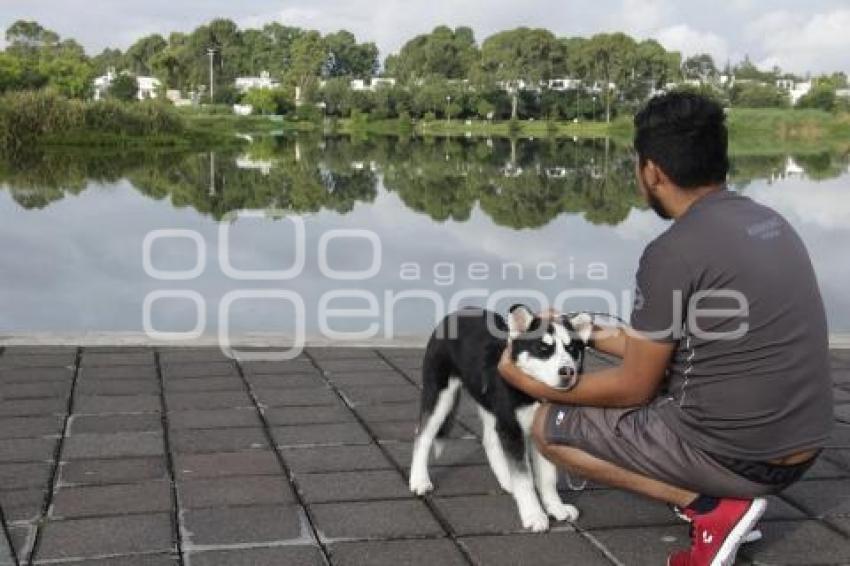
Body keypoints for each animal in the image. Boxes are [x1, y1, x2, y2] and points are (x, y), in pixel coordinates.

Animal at [410, 306, 592, 532]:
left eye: (572, 349)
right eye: (543, 348)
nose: (568, 371)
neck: (533, 393)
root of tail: (457, 313)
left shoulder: (537, 432)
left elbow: (548, 477)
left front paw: (556, 507)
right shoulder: (511, 428)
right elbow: (524, 478)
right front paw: (533, 514)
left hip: (489, 404)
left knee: (489, 440)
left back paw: (507, 480)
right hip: (439, 394)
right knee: (423, 435)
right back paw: (419, 480)